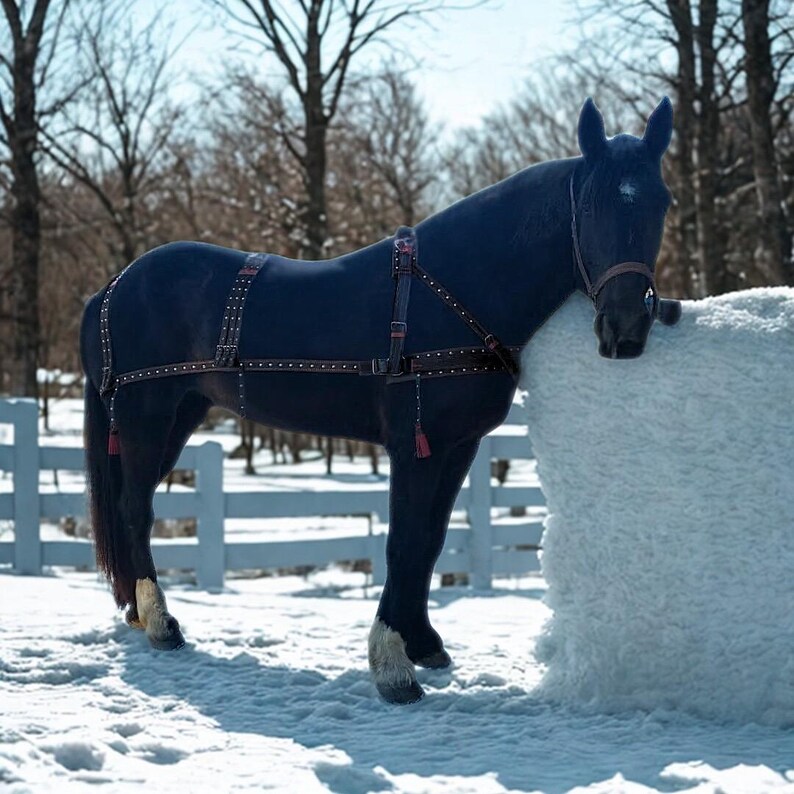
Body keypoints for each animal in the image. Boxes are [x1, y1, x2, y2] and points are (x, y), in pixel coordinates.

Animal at [80, 97, 681, 705]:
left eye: (662, 201)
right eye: (594, 203)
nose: (626, 328)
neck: (451, 292)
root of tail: (112, 288)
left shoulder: (458, 446)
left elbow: (430, 541)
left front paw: (423, 643)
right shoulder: (414, 445)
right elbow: (404, 541)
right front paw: (393, 665)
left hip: (178, 414)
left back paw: (138, 612)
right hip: (145, 415)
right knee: (135, 509)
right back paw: (161, 624)